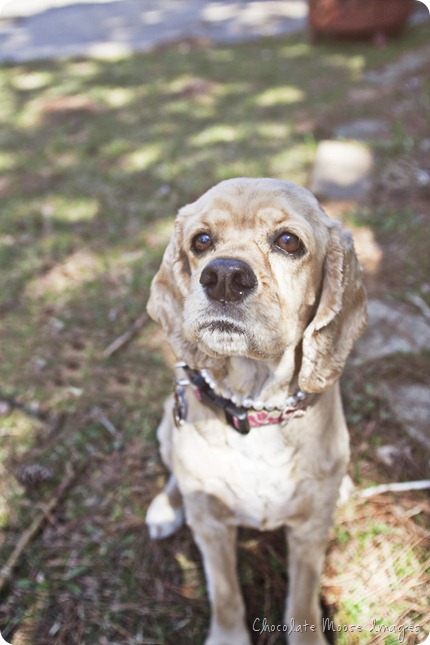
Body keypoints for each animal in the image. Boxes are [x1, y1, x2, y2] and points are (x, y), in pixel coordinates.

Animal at [146, 177, 368, 644]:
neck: (257, 407)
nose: (224, 277)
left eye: (288, 241)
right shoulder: (212, 526)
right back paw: (165, 508)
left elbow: (303, 600)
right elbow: (227, 593)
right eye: (201, 241)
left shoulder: (309, 532)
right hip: (166, 426)